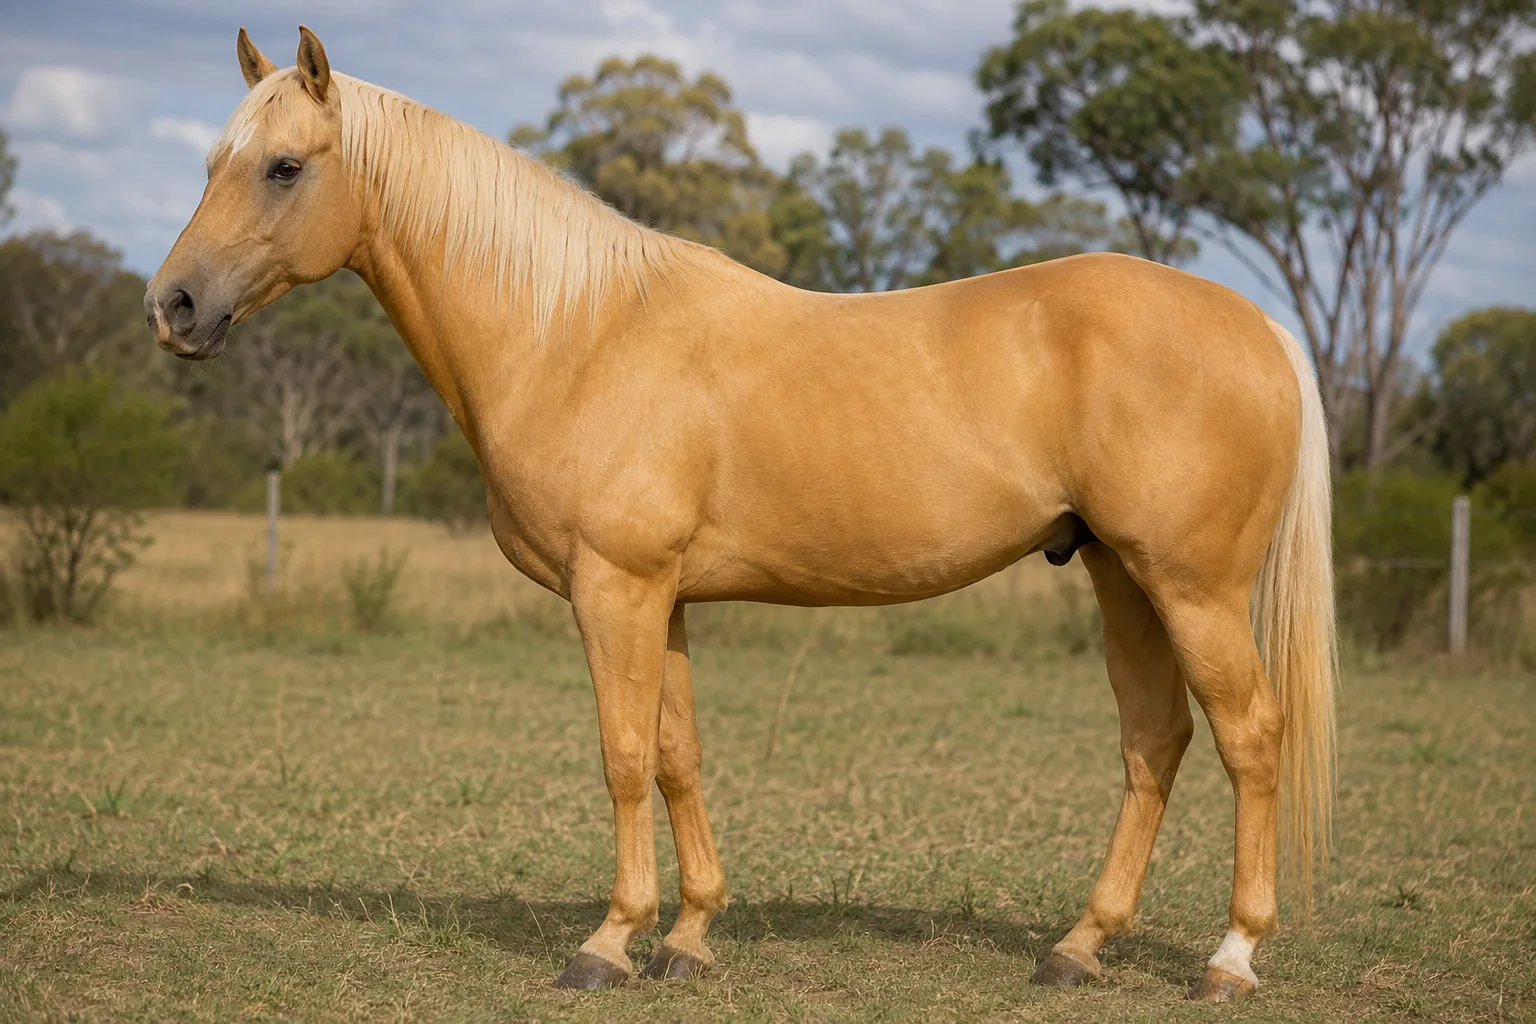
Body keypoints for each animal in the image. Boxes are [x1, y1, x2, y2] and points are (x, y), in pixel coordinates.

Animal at [146, 27, 1337, 1002]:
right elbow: (678, 754)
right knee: (1155, 741)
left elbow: (623, 753)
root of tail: (1257, 323)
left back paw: (1231, 957)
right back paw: (1078, 948)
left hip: (1191, 587)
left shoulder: (614, 587)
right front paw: (689, 936)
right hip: (1119, 574)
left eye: (285, 166)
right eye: (210, 163)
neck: (576, 332)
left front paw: (608, 942)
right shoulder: (661, 597)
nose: (173, 307)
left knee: (1249, 735)